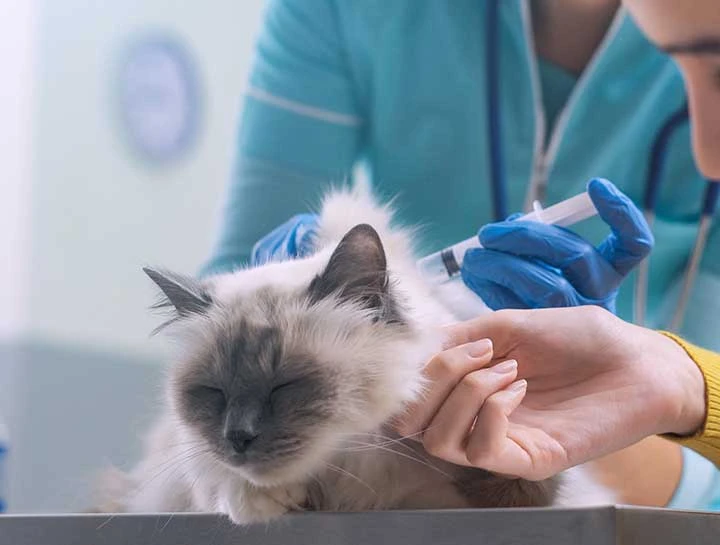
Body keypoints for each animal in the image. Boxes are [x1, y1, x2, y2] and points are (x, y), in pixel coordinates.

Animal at [94, 184, 612, 524]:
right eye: (213, 394)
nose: (237, 437)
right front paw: (263, 498)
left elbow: (512, 477)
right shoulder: (187, 473)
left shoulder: (518, 490)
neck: (347, 475)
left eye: (286, 385)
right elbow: (216, 483)